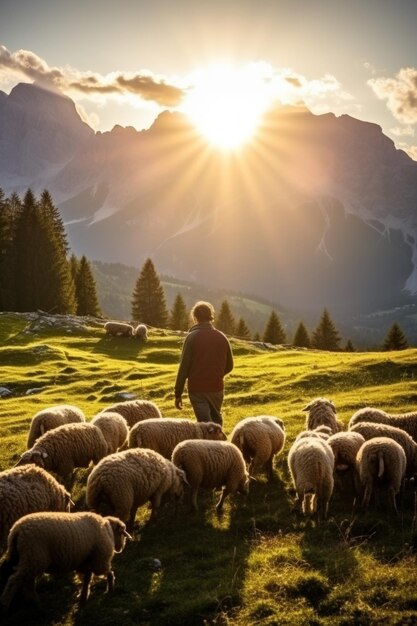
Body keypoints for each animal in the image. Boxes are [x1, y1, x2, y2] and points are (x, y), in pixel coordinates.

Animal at [0, 510, 130, 608]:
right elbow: (108, 572)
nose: (121, 548)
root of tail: (16, 530)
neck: (108, 531)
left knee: (27, 581)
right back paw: (6, 603)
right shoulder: (99, 560)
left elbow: (87, 579)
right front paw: (110, 587)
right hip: (33, 557)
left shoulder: (85, 562)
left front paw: (83, 596)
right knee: (14, 580)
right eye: (122, 534)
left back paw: (34, 601)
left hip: (28, 559)